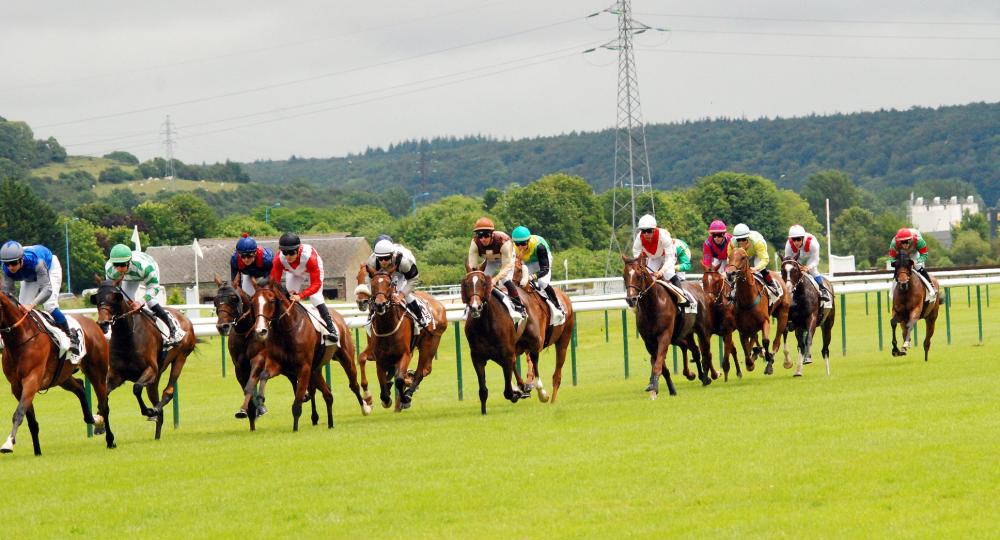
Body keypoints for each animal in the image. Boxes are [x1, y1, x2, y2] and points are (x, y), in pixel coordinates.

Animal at [0, 292, 115, 456]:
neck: (20, 339)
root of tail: (94, 324)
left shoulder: (31, 380)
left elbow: (19, 413)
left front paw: (8, 443)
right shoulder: (16, 386)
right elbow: (31, 420)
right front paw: (37, 451)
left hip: (97, 372)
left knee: (104, 405)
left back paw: (110, 439)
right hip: (62, 377)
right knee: (80, 386)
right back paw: (94, 419)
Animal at [93, 278, 195, 438]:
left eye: (115, 298)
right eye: (97, 298)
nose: (103, 323)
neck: (127, 335)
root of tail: (185, 319)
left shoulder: (150, 370)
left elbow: (136, 388)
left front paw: (147, 411)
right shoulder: (116, 374)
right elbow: (104, 394)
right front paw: (99, 424)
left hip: (180, 358)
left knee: (168, 392)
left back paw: (154, 410)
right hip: (155, 379)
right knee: (158, 405)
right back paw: (157, 435)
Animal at [364, 268, 446, 412]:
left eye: (389, 284)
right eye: (372, 285)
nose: (380, 305)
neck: (387, 327)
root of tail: (438, 304)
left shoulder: (406, 354)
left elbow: (400, 379)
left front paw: (403, 398)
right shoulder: (379, 358)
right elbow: (382, 379)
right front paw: (385, 398)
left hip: (430, 343)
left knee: (423, 371)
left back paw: (408, 394)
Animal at [508, 260, 580, 402]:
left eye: (518, 270)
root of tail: (565, 296)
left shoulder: (537, 344)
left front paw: (539, 392)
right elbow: (515, 362)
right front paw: (519, 388)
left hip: (563, 341)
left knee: (557, 376)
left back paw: (552, 401)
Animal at [620, 252, 716, 396]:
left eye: (639, 275)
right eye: (624, 276)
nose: (631, 299)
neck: (653, 305)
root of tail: (699, 288)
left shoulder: (664, 335)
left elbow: (658, 362)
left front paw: (654, 388)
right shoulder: (649, 342)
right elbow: (660, 365)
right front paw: (669, 388)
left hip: (702, 331)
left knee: (705, 353)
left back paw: (707, 377)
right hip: (685, 333)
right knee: (694, 350)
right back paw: (699, 376)